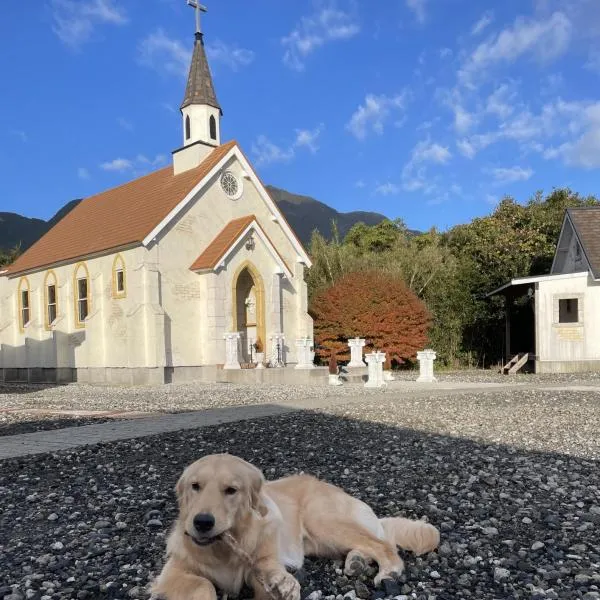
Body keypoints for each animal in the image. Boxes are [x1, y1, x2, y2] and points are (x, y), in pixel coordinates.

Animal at [152, 454, 438, 600]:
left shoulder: (263, 563)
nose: (202, 522)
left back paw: (388, 571)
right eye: (195, 486)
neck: (223, 548)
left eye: (231, 490)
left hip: (321, 520)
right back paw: (356, 562)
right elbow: (204, 585)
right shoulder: (172, 571)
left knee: (383, 544)